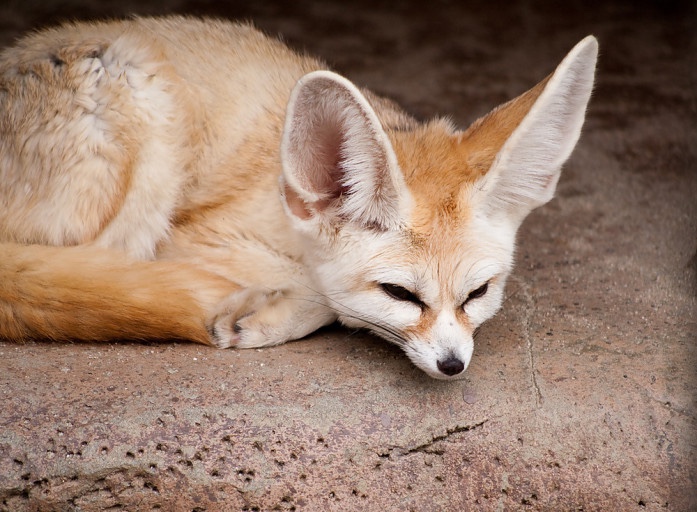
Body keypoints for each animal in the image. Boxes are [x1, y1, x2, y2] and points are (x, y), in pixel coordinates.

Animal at [0, 17, 600, 380]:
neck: (281, 188)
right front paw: (265, 309)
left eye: (478, 293)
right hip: (141, 96)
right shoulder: (190, 237)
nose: (453, 365)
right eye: (400, 294)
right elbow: (323, 295)